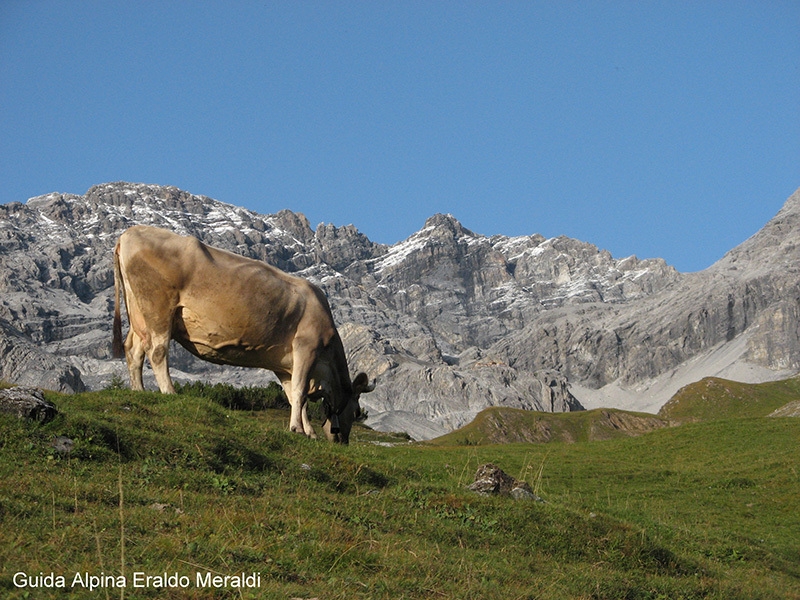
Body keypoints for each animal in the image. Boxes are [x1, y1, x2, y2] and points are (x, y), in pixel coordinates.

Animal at [112, 223, 376, 442]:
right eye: (356, 411)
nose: (342, 441)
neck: (324, 372)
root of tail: (129, 233)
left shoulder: (285, 366)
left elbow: (294, 397)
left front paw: (307, 431)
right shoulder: (306, 347)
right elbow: (300, 393)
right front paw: (298, 429)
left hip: (139, 315)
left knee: (134, 351)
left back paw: (139, 391)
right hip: (158, 310)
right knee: (157, 352)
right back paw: (170, 392)